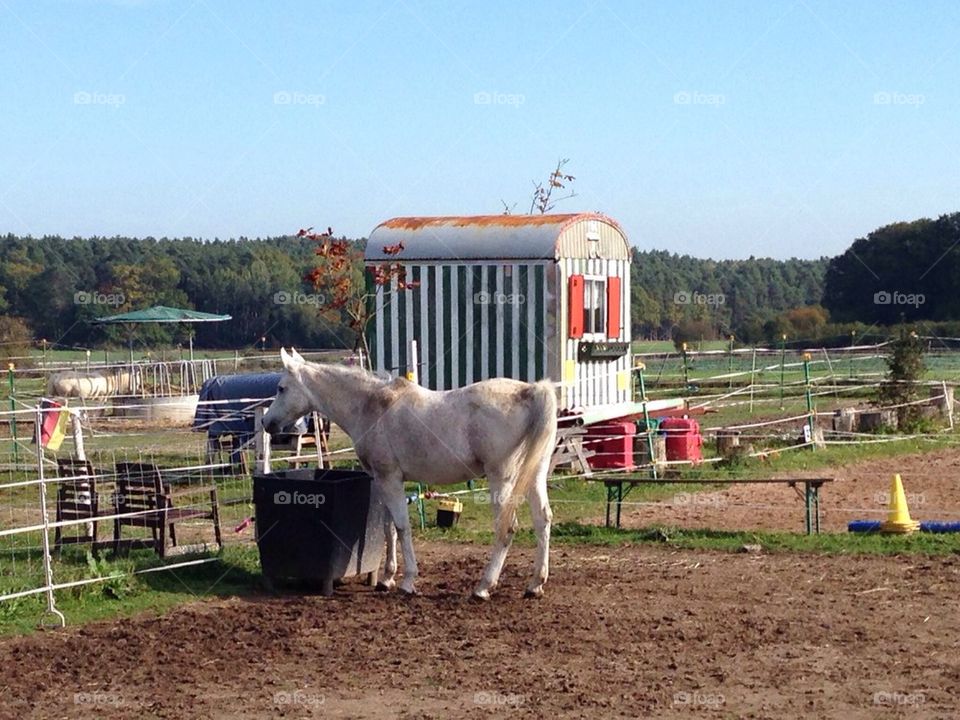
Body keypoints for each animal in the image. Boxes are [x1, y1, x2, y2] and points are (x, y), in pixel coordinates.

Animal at [262, 347, 558, 600]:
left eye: (281, 388)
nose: (266, 423)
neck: (371, 406)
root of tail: (528, 391)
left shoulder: (389, 478)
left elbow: (402, 527)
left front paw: (407, 581)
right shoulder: (385, 482)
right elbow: (388, 528)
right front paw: (386, 578)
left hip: (501, 481)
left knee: (507, 528)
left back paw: (483, 587)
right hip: (534, 477)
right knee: (543, 521)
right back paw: (535, 585)